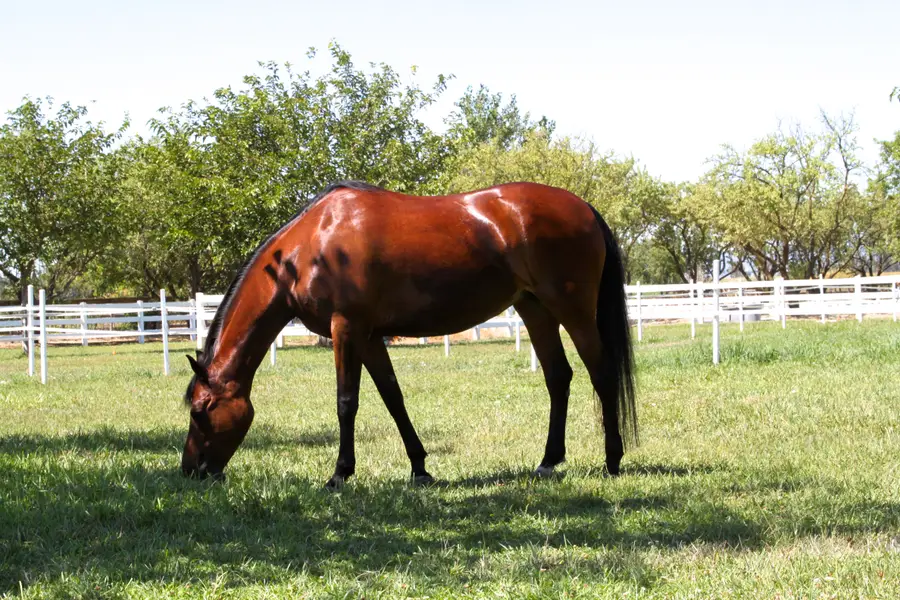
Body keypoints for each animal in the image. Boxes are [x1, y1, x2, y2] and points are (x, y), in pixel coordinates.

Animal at [181, 180, 637, 489]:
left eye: (201, 410)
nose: (191, 471)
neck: (310, 246)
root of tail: (583, 207)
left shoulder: (346, 329)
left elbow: (347, 402)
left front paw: (339, 475)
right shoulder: (368, 336)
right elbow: (393, 397)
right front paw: (419, 467)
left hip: (572, 309)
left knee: (601, 373)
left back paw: (612, 460)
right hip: (534, 308)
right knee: (559, 377)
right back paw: (548, 461)